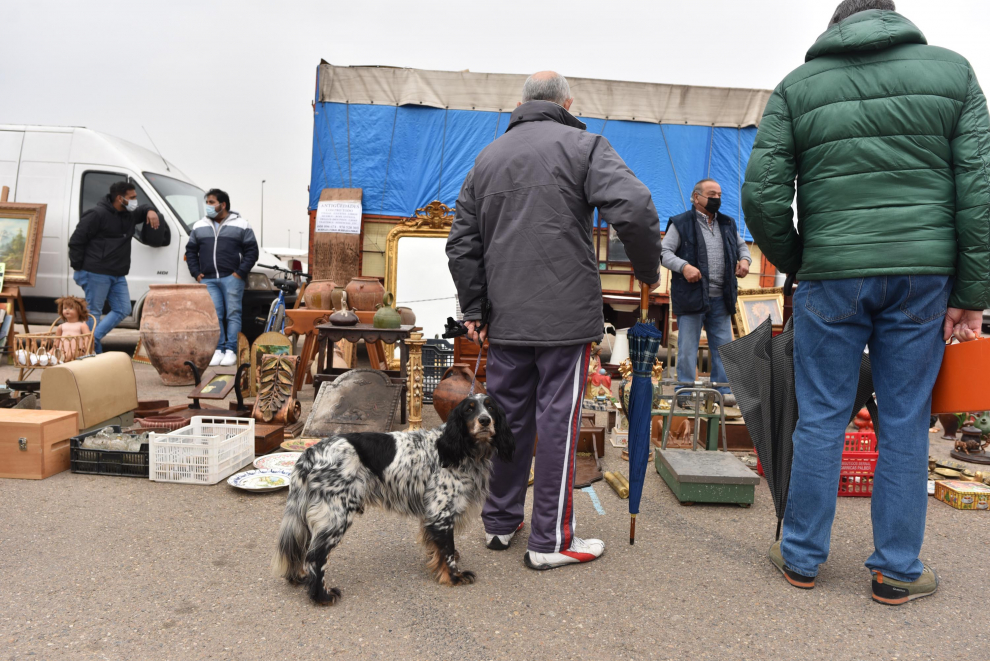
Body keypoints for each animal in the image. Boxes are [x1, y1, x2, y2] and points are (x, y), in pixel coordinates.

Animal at [274, 392, 516, 604]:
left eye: (490, 408)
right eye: (469, 409)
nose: (484, 421)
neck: (461, 451)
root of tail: (310, 453)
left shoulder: (432, 515)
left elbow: (438, 547)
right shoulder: (441, 512)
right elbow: (446, 550)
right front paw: (454, 576)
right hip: (336, 516)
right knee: (315, 557)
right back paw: (322, 596)